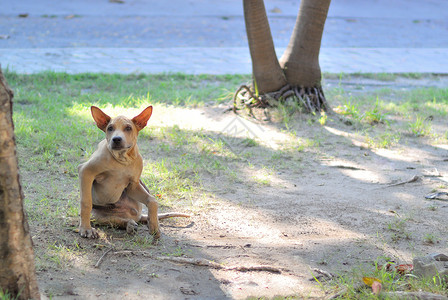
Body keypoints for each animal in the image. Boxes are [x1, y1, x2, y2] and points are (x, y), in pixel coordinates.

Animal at [78, 105, 160, 239]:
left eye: (128, 128)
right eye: (110, 128)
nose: (116, 139)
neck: (122, 160)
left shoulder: (133, 186)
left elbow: (152, 200)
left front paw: (154, 226)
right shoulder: (85, 171)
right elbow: (86, 203)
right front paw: (85, 229)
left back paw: (134, 224)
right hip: (97, 215)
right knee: (113, 220)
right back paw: (129, 225)